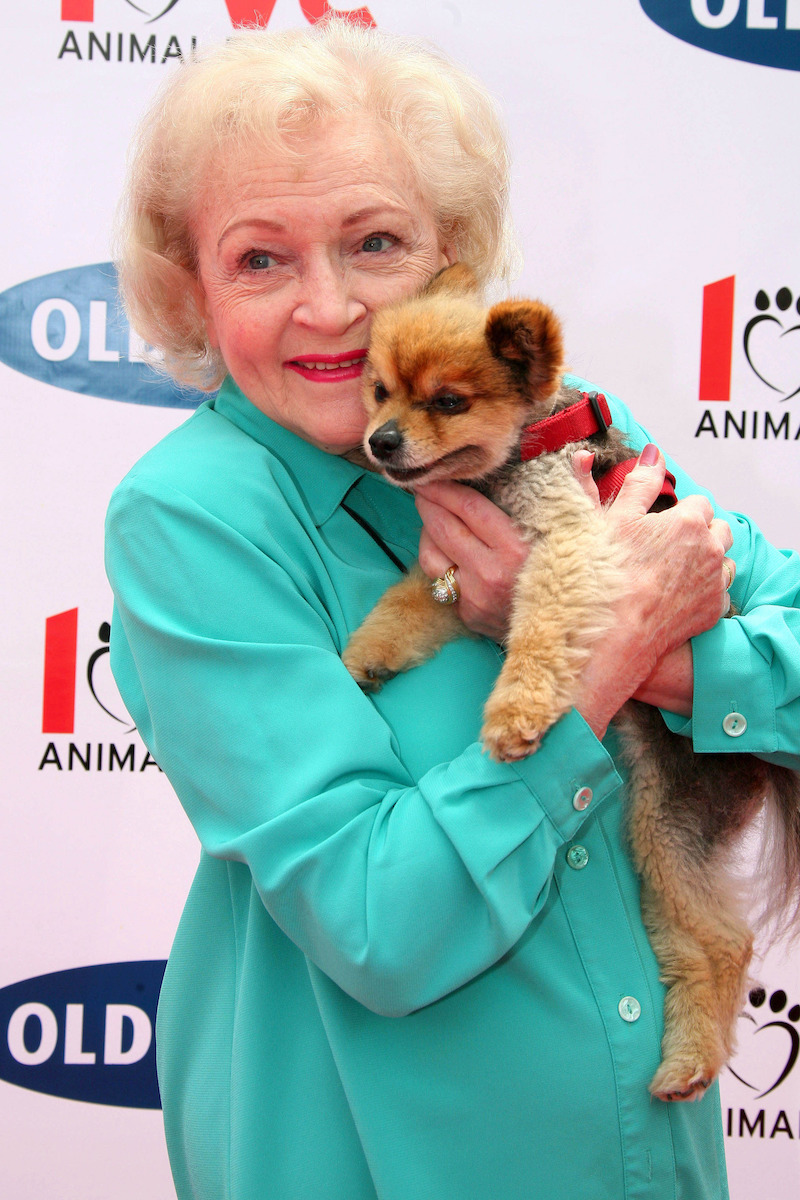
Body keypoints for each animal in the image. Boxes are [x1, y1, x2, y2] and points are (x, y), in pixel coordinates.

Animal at [343, 265, 800, 1104]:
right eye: (379, 390)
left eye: (448, 401)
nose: (379, 440)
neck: (517, 458)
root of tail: (761, 762)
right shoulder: (452, 569)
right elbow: (408, 602)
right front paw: (368, 655)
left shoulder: (568, 547)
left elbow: (539, 636)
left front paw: (514, 713)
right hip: (667, 828)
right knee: (712, 938)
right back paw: (689, 1061)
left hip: (671, 810)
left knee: (723, 942)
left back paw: (688, 1061)